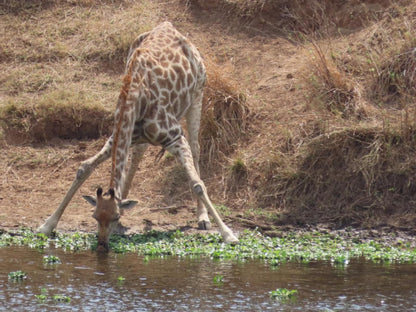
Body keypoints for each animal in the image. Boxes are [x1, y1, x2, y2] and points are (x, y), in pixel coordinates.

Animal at [37, 22, 239, 251]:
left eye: (114, 217)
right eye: (95, 217)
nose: (102, 245)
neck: (134, 97)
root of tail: (169, 25)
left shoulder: (175, 137)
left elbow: (197, 183)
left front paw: (228, 234)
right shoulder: (118, 136)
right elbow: (84, 167)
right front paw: (46, 225)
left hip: (198, 94)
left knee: (196, 150)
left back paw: (202, 218)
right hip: (143, 136)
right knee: (138, 155)